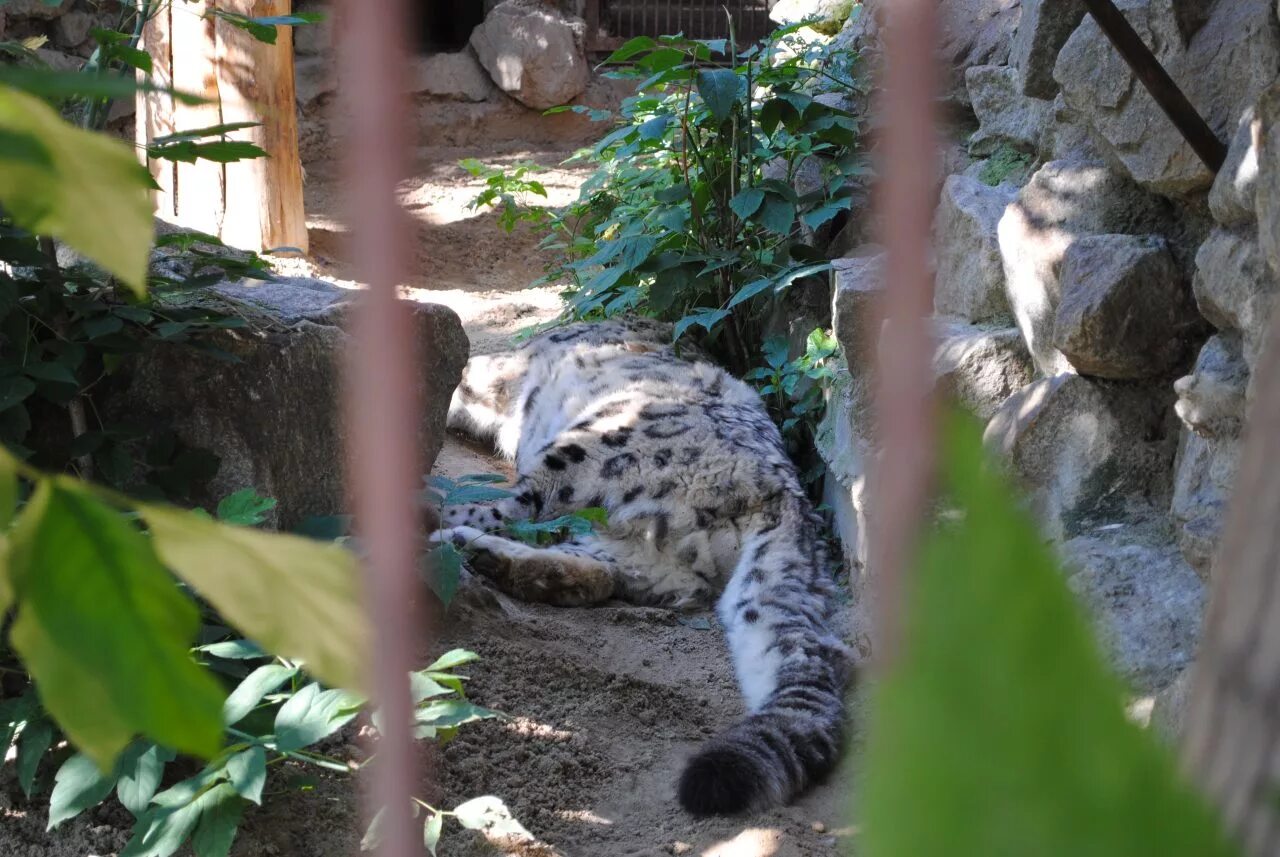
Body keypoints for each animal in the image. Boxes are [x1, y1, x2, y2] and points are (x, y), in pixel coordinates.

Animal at [437, 317, 849, 818]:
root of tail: (783, 494)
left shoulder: (498, 370)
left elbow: (463, 377)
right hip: (639, 553)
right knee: (596, 573)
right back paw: (486, 556)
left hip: (591, 447)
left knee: (516, 508)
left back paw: (443, 521)